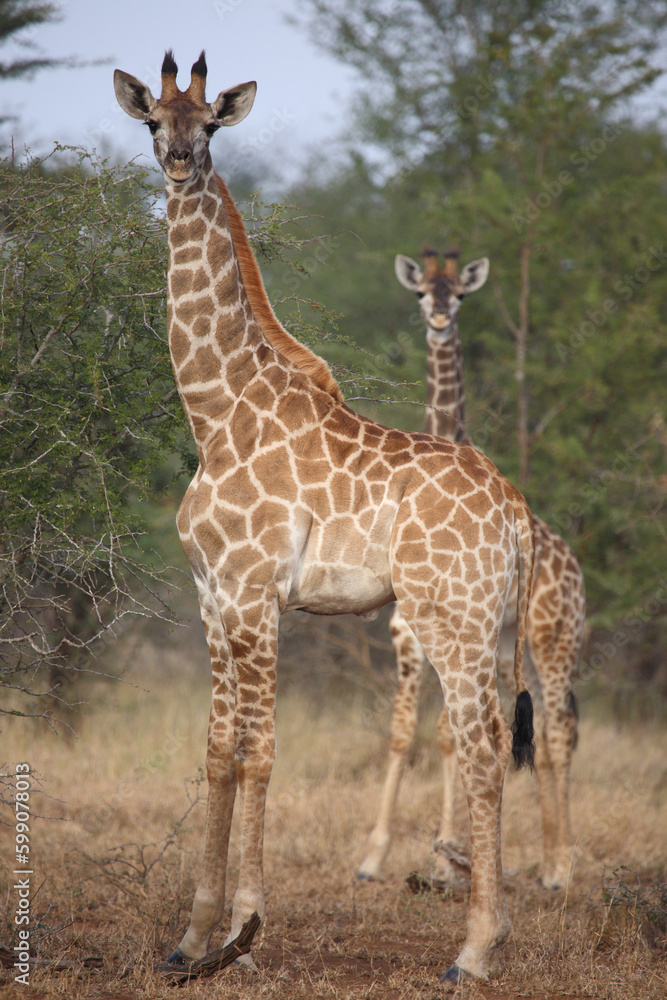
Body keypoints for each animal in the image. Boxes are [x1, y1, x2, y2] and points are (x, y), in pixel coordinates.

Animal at [116, 54, 536, 984]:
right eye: (154, 121)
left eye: (211, 123)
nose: (180, 162)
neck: (216, 412)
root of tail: (517, 514)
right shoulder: (212, 597)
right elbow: (216, 754)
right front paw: (189, 940)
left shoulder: (255, 596)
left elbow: (259, 752)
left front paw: (243, 931)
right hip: (491, 625)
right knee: (494, 745)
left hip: (449, 622)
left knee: (481, 749)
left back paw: (473, 952)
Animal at [360, 250, 584, 892]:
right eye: (420, 294)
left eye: (459, 295)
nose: (438, 317)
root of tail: (577, 571)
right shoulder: (406, 635)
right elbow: (408, 732)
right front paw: (375, 857)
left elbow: (448, 736)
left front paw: (446, 857)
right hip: (513, 646)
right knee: (536, 732)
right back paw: (543, 860)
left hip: (556, 639)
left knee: (559, 733)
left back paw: (560, 865)